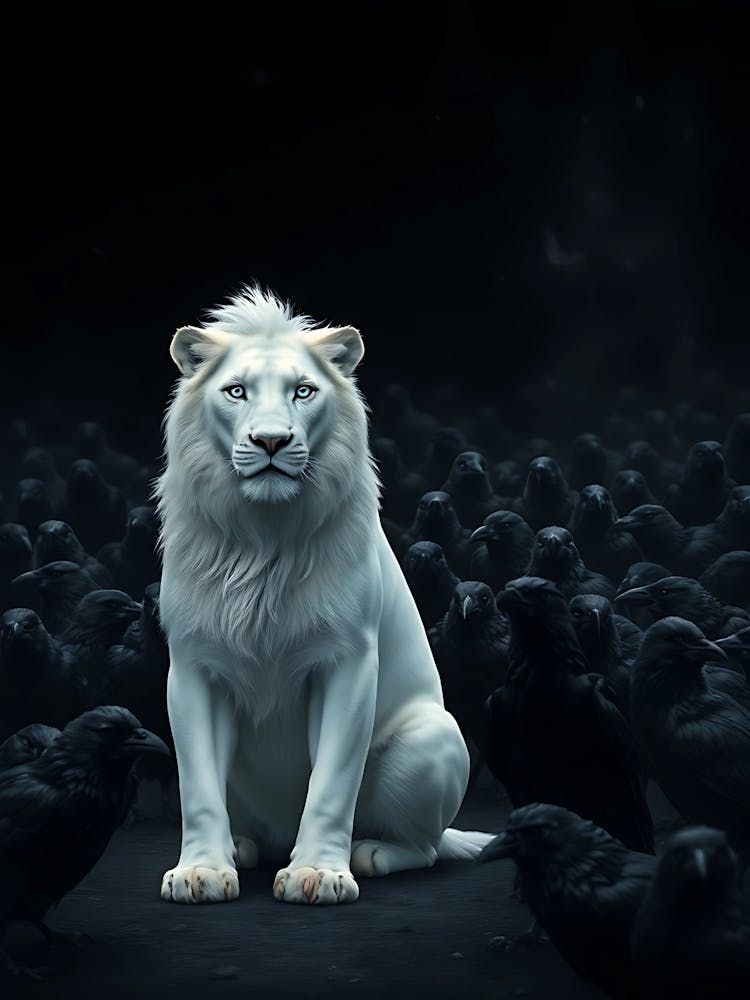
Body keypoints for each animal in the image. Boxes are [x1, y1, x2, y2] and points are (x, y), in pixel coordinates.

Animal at [156, 285, 494, 905]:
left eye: (303, 391)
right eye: (236, 391)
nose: (271, 440)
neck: (263, 543)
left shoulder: (347, 660)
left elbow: (332, 780)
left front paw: (319, 873)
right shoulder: (193, 666)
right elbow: (197, 784)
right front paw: (200, 873)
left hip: (434, 738)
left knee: (428, 847)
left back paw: (372, 853)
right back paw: (242, 848)